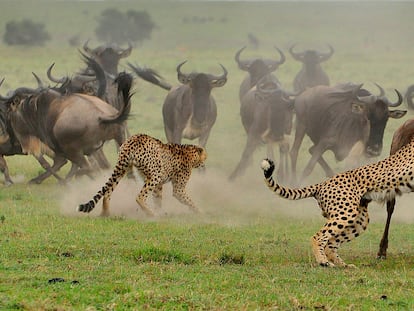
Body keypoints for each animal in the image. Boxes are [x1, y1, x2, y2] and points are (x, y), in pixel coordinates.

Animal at [77, 133, 207, 217]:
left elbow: (157, 199)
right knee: (140, 197)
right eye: (205, 156)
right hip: (155, 174)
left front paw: (160, 211)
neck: (190, 152)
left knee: (107, 192)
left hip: (123, 168)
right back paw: (151, 214)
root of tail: (134, 139)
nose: (205, 162)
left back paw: (105, 214)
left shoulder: (159, 185)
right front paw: (200, 212)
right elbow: (188, 200)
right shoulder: (177, 189)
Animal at [260, 141, 414, 268]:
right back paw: (323, 262)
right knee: (318, 237)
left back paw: (343, 266)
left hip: (359, 219)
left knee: (331, 244)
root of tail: (322, 183)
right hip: (346, 213)